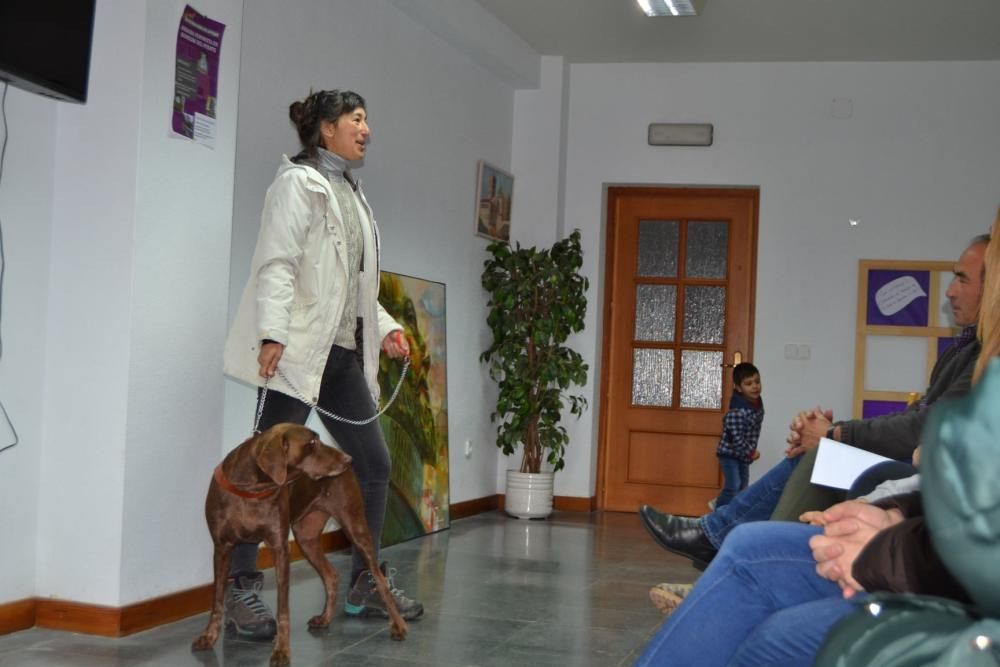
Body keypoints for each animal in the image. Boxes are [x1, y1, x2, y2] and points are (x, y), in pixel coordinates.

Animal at [191, 426, 402, 664]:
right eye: (312, 442)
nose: (349, 459)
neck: (252, 489)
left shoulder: (280, 548)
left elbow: (283, 608)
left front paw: (282, 650)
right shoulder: (222, 548)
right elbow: (216, 600)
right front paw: (209, 636)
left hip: (355, 526)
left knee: (379, 577)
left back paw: (398, 625)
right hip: (306, 537)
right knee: (331, 575)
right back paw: (325, 618)